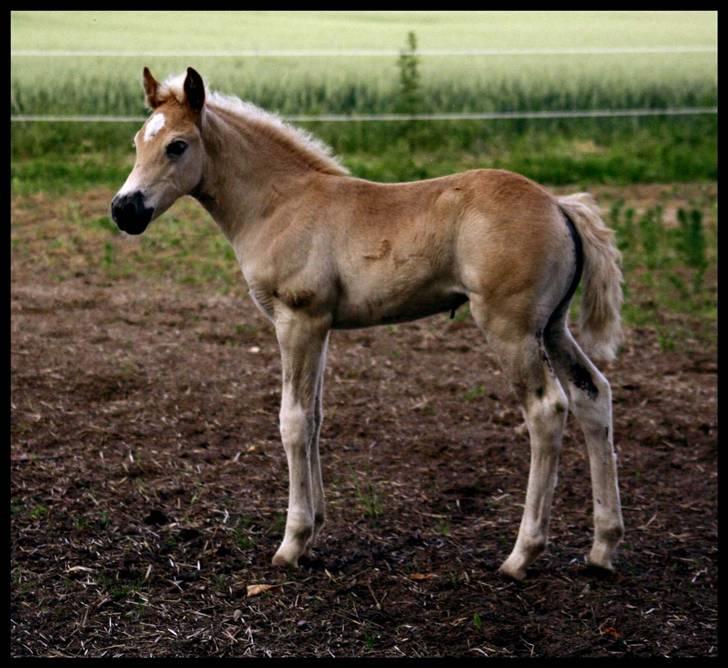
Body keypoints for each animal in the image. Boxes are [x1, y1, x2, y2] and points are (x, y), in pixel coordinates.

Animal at [111, 68, 624, 580]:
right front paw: (314, 529)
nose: (124, 210)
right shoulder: (319, 326)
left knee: (546, 410)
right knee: (592, 395)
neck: (279, 203)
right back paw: (603, 548)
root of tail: (559, 205)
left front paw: (292, 542)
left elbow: (293, 420)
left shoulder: (298, 320)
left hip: (510, 329)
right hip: (552, 327)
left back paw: (521, 554)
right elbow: (315, 417)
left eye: (177, 145)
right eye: (137, 141)